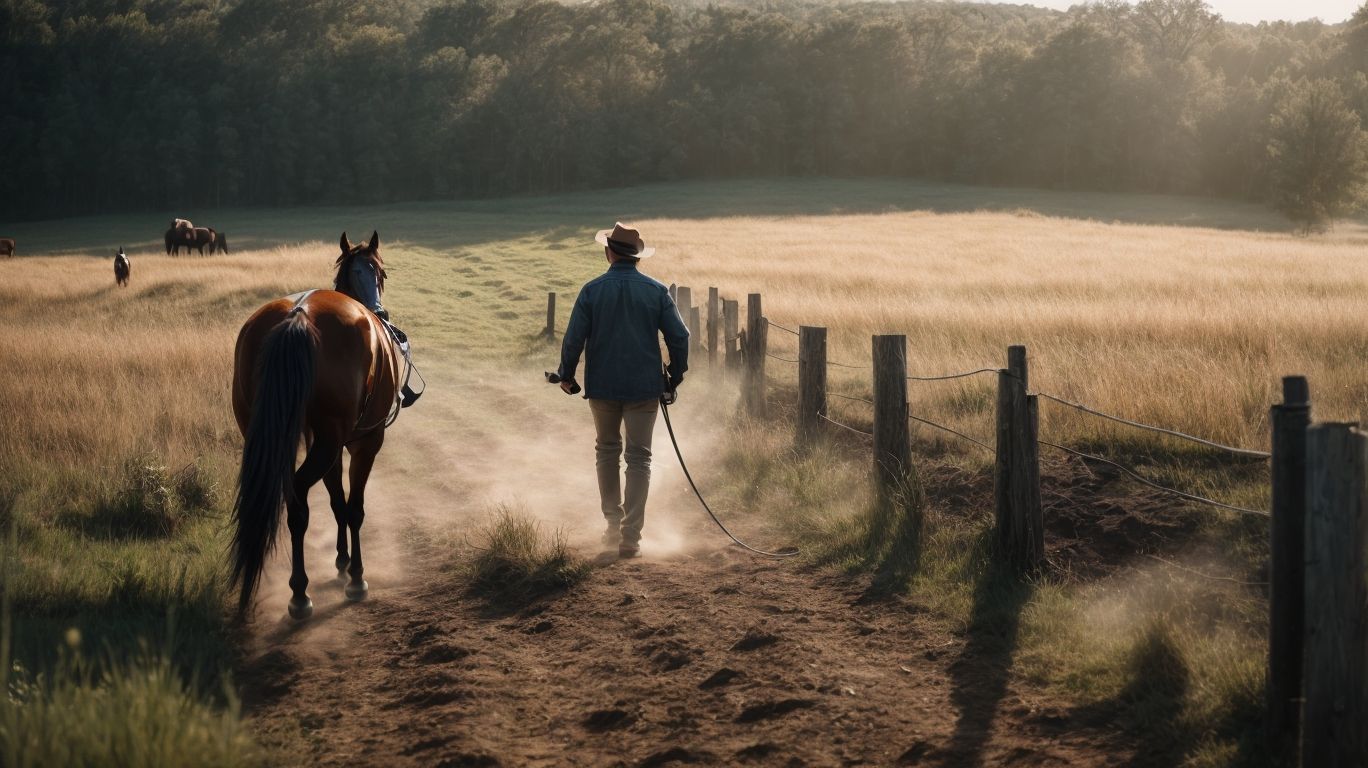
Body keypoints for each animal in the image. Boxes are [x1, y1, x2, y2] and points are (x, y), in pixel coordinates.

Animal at [230, 230, 402, 620]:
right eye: (381, 272)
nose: (381, 313)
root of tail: (297, 316)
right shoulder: (366, 442)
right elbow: (353, 508)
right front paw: (356, 575)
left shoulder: (325, 444)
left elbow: (337, 500)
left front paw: (341, 560)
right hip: (332, 442)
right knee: (297, 499)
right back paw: (299, 593)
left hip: (272, 436)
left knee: (293, 501)